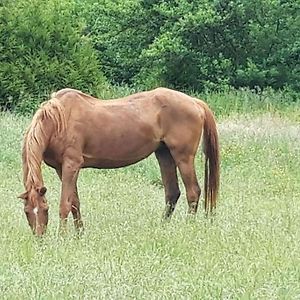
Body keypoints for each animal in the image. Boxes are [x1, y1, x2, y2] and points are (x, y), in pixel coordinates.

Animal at [19, 88, 220, 236]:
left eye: (45, 209)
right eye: (27, 211)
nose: (39, 238)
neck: (59, 120)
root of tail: (195, 102)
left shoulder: (71, 165)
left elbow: (65, 204)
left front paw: (62, 237)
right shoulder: (61, 169)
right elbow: (75, 201)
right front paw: (80, 234)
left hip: (183, 157)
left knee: (193, 191)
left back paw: (189, 227)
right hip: (164, 154)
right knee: (172, 193)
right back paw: (162, 227)